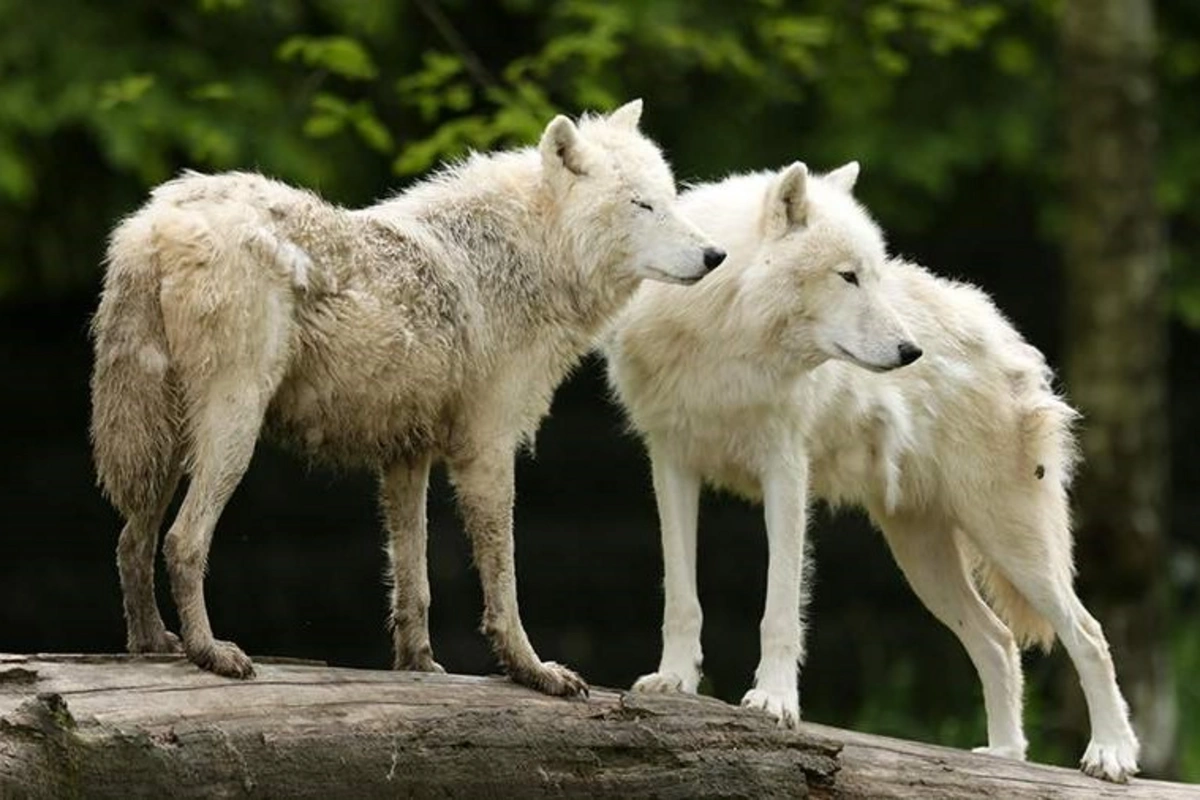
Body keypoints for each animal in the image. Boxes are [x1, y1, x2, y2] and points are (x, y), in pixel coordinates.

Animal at [88, 100, 724, 695]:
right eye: (642, 206)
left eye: (671, 200)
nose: (715, 256)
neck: (529, 258)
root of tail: (151, 225)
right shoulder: (486, 450)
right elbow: (504, 582)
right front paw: (533, 671)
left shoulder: (406, 455)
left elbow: (413, 581)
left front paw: (419, 666)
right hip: (232, 429)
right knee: (182, 540)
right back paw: (210, 653)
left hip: (167, 441)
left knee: (130, 540)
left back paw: (151, 644)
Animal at [604, 160, 1137, 782]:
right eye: (848, 277)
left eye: (875, 276)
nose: (912, 352)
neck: (724, 333)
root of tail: (1008, 336)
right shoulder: (671, 462)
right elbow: (680, 596)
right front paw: (674, 681)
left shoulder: (786, 471)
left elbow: (780, 609)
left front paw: (774, 702)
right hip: (923, 557)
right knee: (999, 641)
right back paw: (1004, 759)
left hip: (1010, 540)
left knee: (1088, 634)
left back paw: (1111, 754)